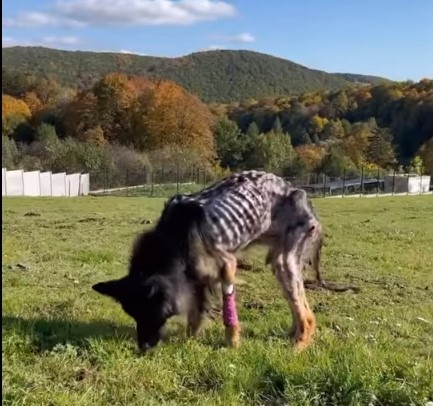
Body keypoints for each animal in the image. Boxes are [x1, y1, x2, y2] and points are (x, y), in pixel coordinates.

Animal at [93, 170, 356, 350]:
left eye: (149, 311)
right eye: (133, 315)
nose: (143, 348)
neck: (174, 239)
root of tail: (304, 196)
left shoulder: (227, 266)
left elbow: (228, 317)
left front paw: (232, 344)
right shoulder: (196, 279)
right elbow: (196, 314)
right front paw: (190, 341)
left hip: (286, 263)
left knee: (308, 316)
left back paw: (298, 345)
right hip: (278, 263)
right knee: (298, 309)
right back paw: (292, 334)